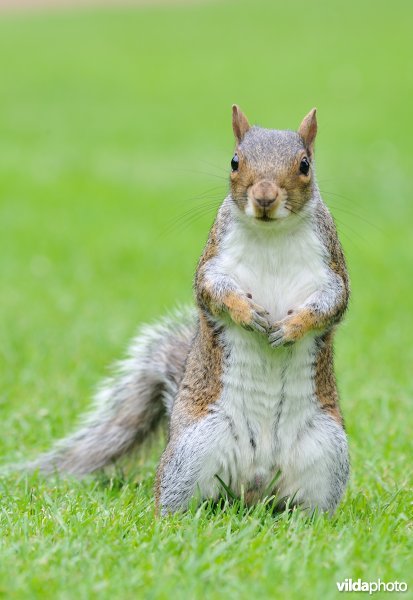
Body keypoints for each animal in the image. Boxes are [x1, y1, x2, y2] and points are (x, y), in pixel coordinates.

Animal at [8, 104, 348, 516]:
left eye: (304, 165)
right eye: (235, 161)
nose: (264, 196)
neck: (271, 235)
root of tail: (253, 489)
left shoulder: (332, 268)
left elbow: (332, 303)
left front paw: (293, 326)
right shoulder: (213, 262)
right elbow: (213, 291)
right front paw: (247, 314)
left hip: (327, 451)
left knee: (310, 507)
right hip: (192, 451)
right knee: (173, 500)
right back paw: (171, 519)